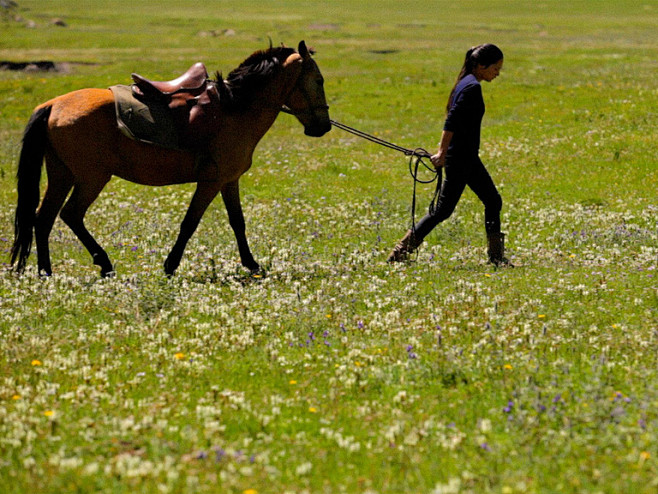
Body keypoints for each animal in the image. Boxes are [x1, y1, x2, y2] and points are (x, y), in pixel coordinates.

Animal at [9, 41, 328, 278]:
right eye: (319, 80)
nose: (323, 126)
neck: (234, 109)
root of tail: (53, 105)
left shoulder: (229, 180)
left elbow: (238, 222)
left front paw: (252, 264)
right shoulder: (211, 182)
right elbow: (190, 223)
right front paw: (170, 265)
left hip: (61, 174)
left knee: (43, 218)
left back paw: (46, 272)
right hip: (92, 178)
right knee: (71, 214)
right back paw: (104, 264)